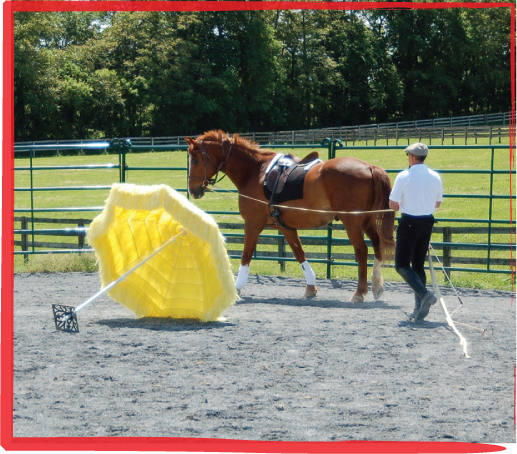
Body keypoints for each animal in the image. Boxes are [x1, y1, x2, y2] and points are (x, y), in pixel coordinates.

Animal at [185, 130, 396, 302]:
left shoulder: (252, 224)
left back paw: (359, 292)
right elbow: (299, 252)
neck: (255, 172)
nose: (193, 190)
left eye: (195, 160)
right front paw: (311, 287)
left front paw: (236, 289)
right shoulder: (284, 227)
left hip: (352, 223)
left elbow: (245, 256)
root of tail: (369, 167)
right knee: (377, 246)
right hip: (367, 221)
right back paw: (376, 285)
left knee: (362, 251)